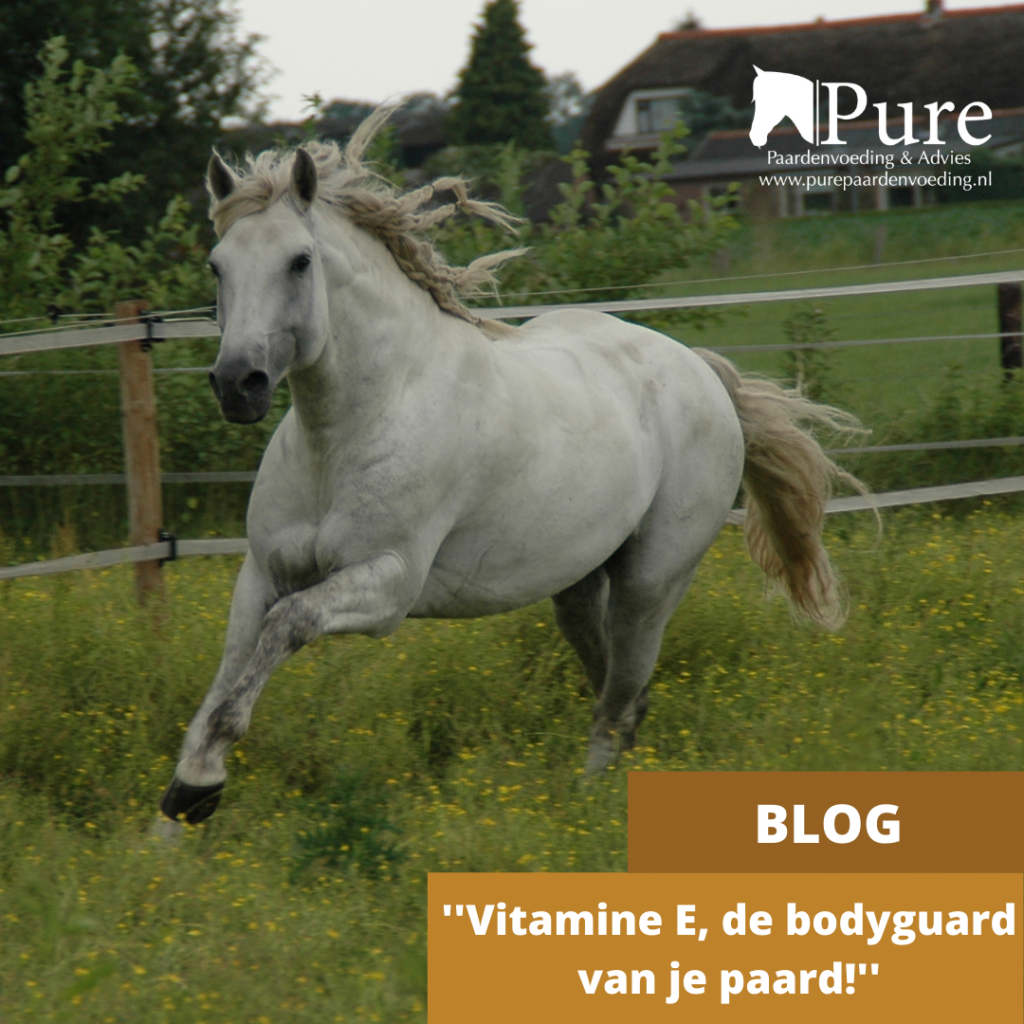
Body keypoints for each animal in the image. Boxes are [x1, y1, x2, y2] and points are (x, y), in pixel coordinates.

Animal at [160, 110, 865, 825]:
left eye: (299, 261)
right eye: (218, 266)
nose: (236, 384)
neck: (349, 430)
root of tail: (700, 369)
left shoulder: (389, 584)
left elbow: (285, 628)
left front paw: (199, 790)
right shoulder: (262, 572)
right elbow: (227, 677)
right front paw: (181, 803)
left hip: (650, 583)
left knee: (618, 702)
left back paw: (586, 811)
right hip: (579, 587)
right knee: (621, 693)